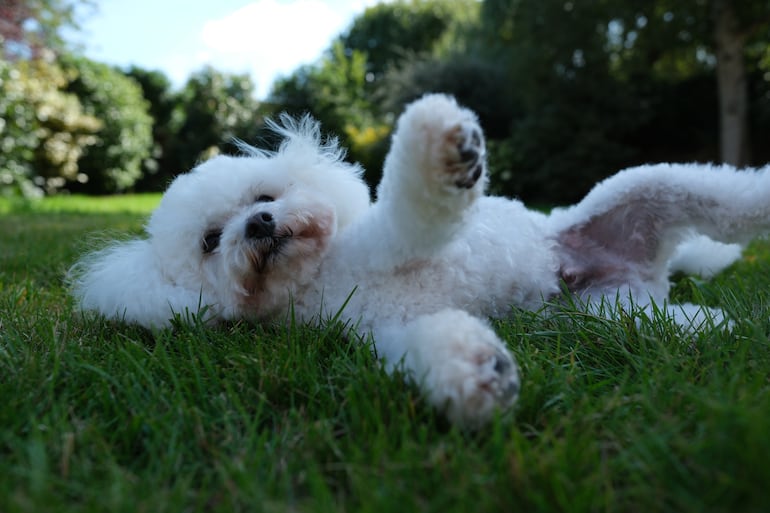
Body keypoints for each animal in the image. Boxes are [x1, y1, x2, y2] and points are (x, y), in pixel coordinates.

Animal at [70, 94, 768, 426]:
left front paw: (439, 144)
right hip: (602, 311)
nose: (260, 225)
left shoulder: (392, 237)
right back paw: (710, 327)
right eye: (212, 241)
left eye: (264, 197)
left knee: (731, 200)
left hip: (650, 188)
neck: (319, 278)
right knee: (659, 322)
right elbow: (436, 346)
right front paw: (482, 374)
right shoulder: (385, 330)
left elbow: (414, 204)